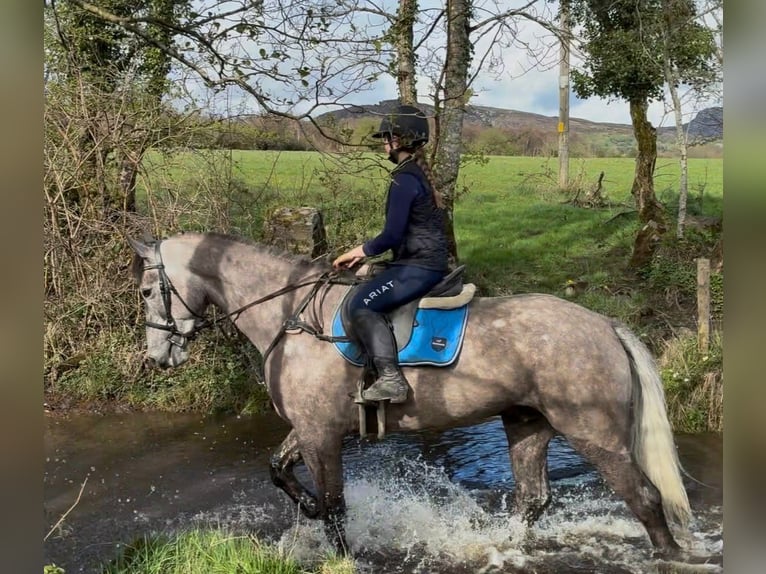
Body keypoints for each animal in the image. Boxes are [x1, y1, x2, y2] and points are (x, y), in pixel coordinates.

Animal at [128, 231, 691, 557]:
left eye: (146, 291)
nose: (158, 356)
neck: (290, 315)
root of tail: (604, 325)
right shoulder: (309, 428)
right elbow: (278, 471)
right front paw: (305, 508)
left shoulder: (321, 434)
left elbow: (335, 507)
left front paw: (341, 556)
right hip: (527, 423)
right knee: (533, 498)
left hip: (594, 433)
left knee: (644, 498)